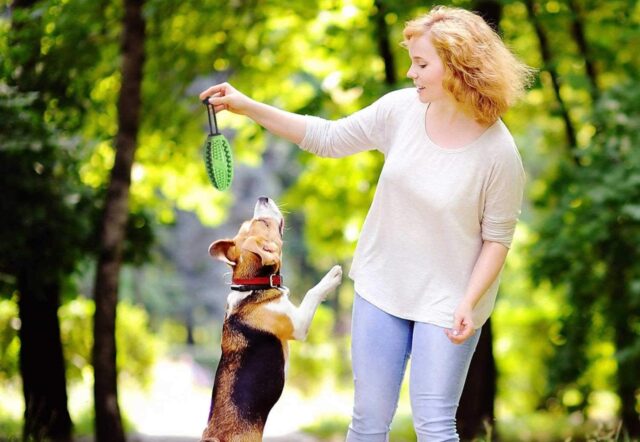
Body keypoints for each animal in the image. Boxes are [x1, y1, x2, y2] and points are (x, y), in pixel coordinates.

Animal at [201, 197, 342, 442]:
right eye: (265, 224)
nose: (263, 198)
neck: (253, 287)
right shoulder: (298, 325)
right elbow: (312, 292)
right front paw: (332, 276)